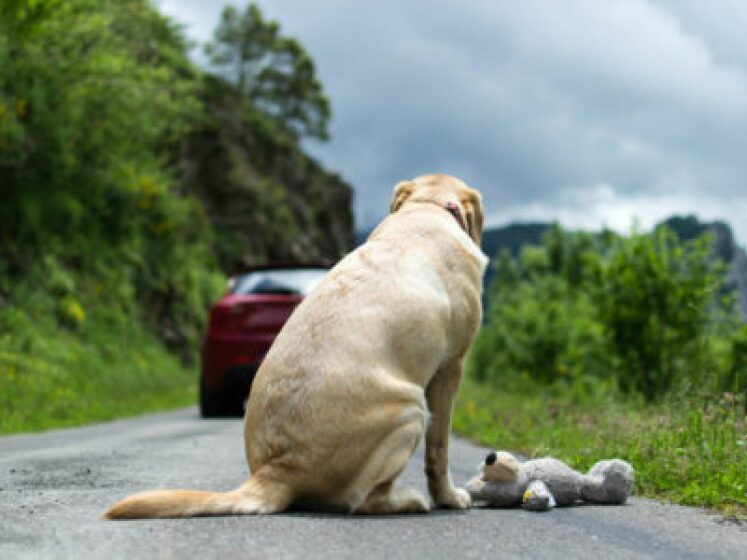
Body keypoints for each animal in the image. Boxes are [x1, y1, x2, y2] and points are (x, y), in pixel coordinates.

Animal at [105, 173, 487, 518]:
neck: (427, 207)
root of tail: (280, 469)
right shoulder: (451, 367)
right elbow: (439, 448)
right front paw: (449, 497)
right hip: (410, 408)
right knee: (365, 501)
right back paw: (409, 500)